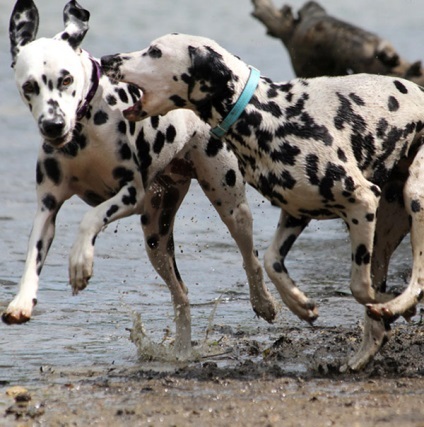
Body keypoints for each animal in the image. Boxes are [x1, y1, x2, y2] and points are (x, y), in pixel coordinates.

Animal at [4, 1, 278, 360]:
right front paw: (22, 301)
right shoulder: (47, 208)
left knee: (250, 259)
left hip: (231, 206)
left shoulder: (130, 194)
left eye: (66, 79)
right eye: (29, 86)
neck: (84, 133)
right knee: (181, 294)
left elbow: (90, 218)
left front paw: (80, 262)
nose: (53, 125)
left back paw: (263, 302)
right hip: (156, 237)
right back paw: (181, 351)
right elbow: (33, 255)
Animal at [100, 31, 424, 370]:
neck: (267, 116)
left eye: (155, 52)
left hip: (414, 200)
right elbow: (270, 262)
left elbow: (360, 287)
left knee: (417, 276)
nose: (107, 59)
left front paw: (396, 306)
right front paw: (299, 304)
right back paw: (364, 352)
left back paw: (399, 305)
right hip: (384, 232)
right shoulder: (296, 212)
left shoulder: (361, 202)